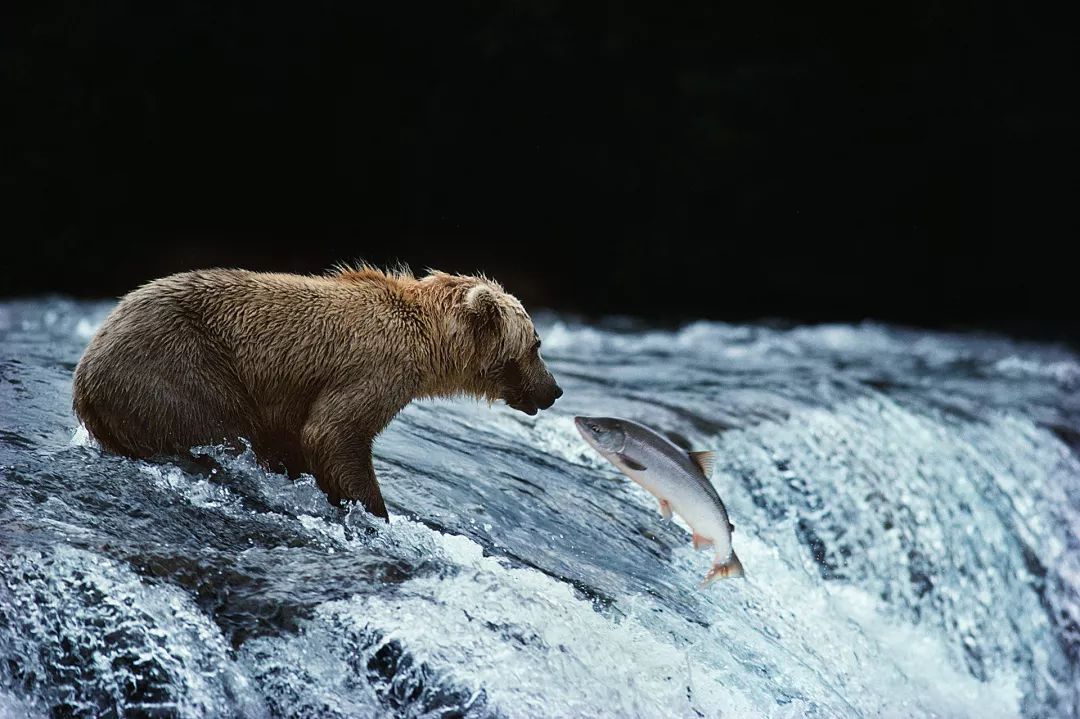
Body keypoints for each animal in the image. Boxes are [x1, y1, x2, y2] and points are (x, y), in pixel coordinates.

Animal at [72, 263, 565, 516]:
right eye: (537, 343)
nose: (555, 390)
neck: (430, 343)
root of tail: (84, 380)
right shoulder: (373, 371)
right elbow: (334, 434)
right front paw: (374, 510)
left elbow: (296, 441)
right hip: (180, 365)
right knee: (217, 426)